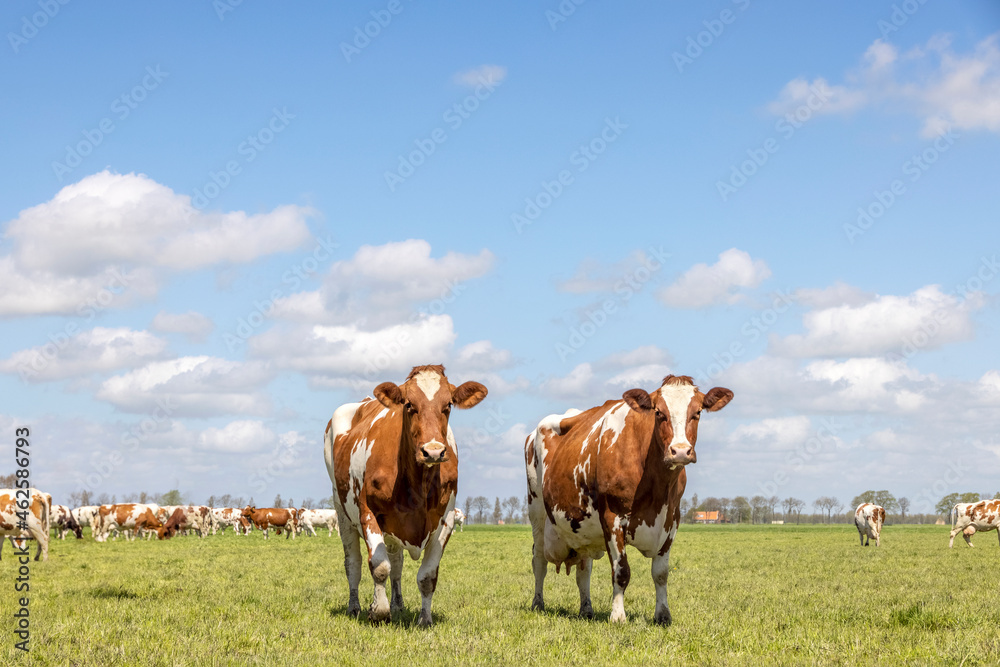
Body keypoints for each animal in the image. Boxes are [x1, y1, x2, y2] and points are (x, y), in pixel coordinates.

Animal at [326, 366, 486, 628]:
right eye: (409, 404)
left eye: (448, 404)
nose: (433, 451)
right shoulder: (368, 513)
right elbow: (379, 567)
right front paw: (378, 612)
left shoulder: (446, 519)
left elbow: (427, 576)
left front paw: (425, 619)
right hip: (342, 511)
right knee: (353, 564)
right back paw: (355, 607)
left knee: (397, 564)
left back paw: (398, 604)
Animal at [524, 376, 736, 628]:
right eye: (658, 412)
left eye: (698, 412)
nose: (680, 451)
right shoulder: (612, 517)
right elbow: (621, 571)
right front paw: (617, 616)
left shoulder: (671, 519)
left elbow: (661, 573)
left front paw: (663, 615)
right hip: (537, 511)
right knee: (539, 561)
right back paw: (538, 604)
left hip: (582, 528)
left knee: (584, 571)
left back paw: (586, 609)